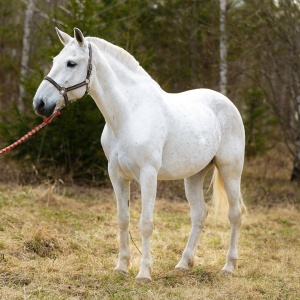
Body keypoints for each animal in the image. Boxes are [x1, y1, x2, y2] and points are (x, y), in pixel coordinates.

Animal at [32, 27, 246, 282]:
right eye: (55, 60)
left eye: (71, 63)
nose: (40, 104)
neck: (129, 115)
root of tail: (228, 103)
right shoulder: (116, 175)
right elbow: (123, 219)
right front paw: (122, 266)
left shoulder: (148, 174)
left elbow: (146, 223)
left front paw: (144, 273)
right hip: (194, 175)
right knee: (199, 214)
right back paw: (184, 263)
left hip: (230, 170)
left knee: (235, 214)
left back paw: (229, 266)